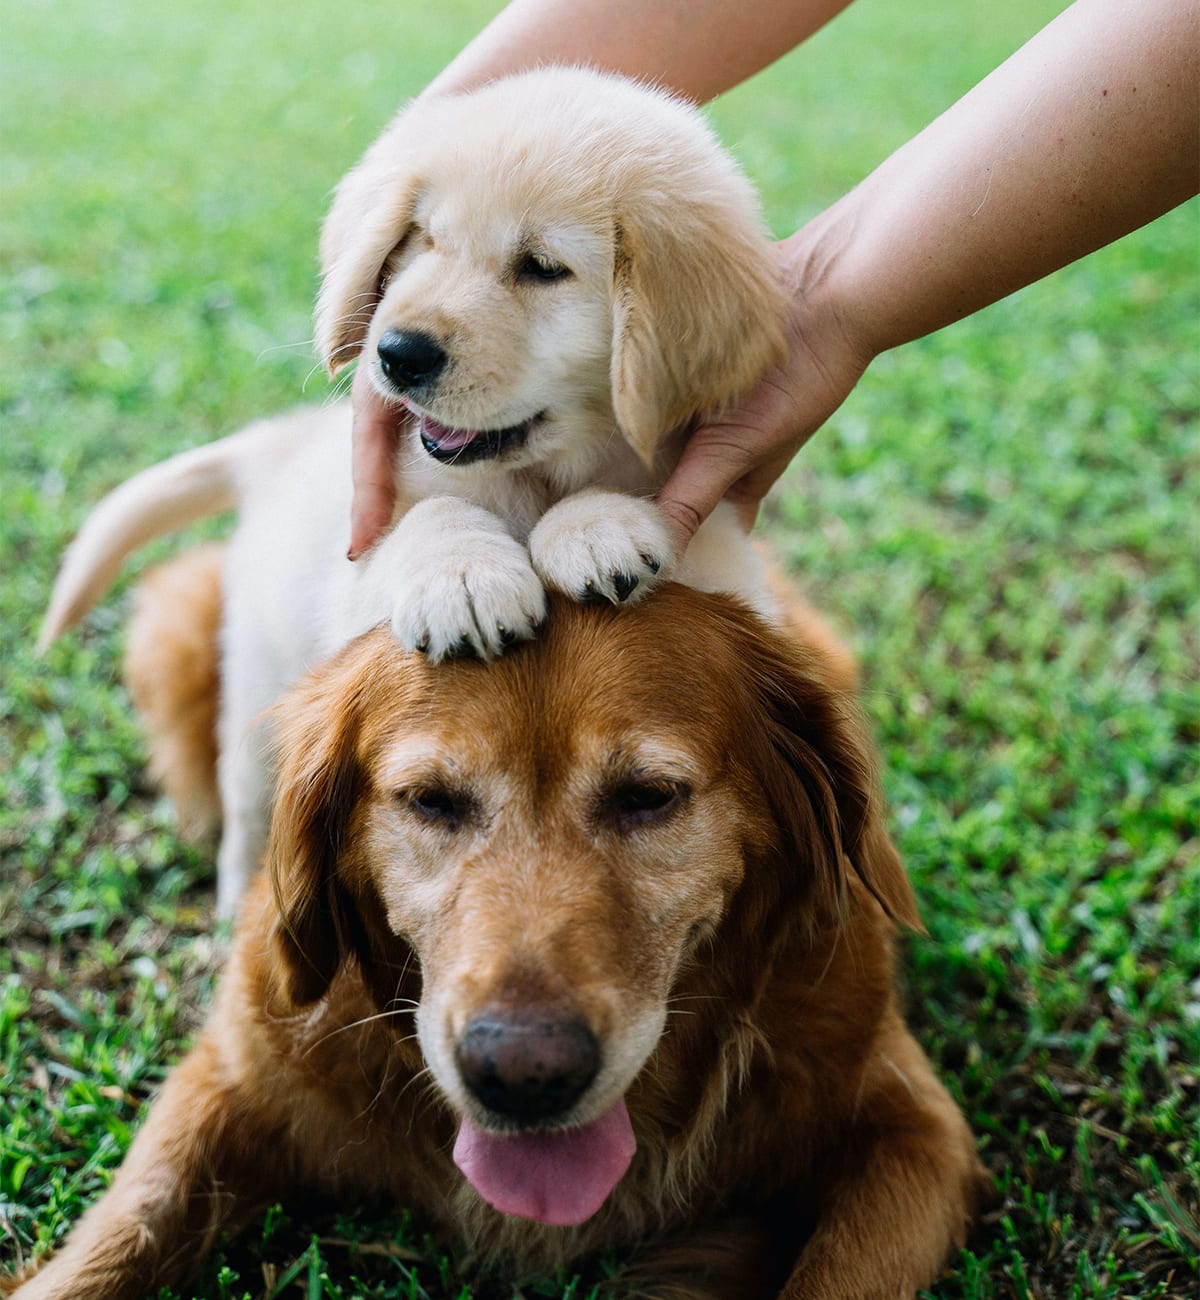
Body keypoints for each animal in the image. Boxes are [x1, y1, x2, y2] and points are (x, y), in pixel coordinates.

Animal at [16, 551, 982, 1300]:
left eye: (649, 796)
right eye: (431, 801)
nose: (523, 1075)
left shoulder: (912, 1128)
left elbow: (844, 1274)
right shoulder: (240, 1071)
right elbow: (122, 1229)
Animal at [37, 68, 790, 915]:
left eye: (541, 267)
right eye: (424, 239)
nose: (397, 353)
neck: (529, 480)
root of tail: (280, 444)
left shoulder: (725, 567)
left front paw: (597, 527)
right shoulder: (365, 562)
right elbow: (428, 512)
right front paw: (463, 578)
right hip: (261, 693)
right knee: (250, 812)